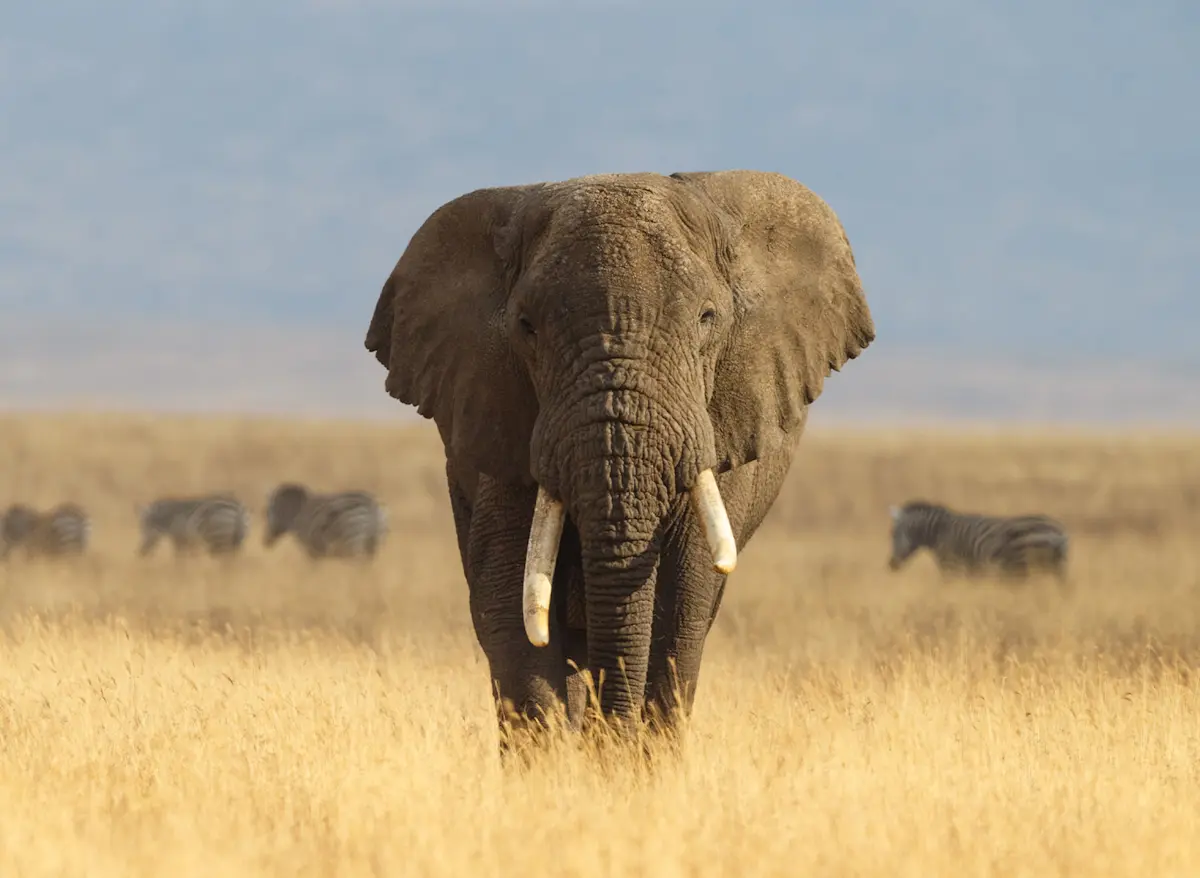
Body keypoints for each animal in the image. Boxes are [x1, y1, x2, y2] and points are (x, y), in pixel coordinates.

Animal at [365, 169, 875, 750]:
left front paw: (630, 761)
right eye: (526, 326)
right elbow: (510, 602)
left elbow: (681, 605)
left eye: (707, 318)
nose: (614, 738)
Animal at [887, 499, 1069, 583]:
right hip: (1055, 568)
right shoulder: (971, 569)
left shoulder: (951, 566)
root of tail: (1058, 531)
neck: (940, 531)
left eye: (893, 535)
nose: (891, 565)